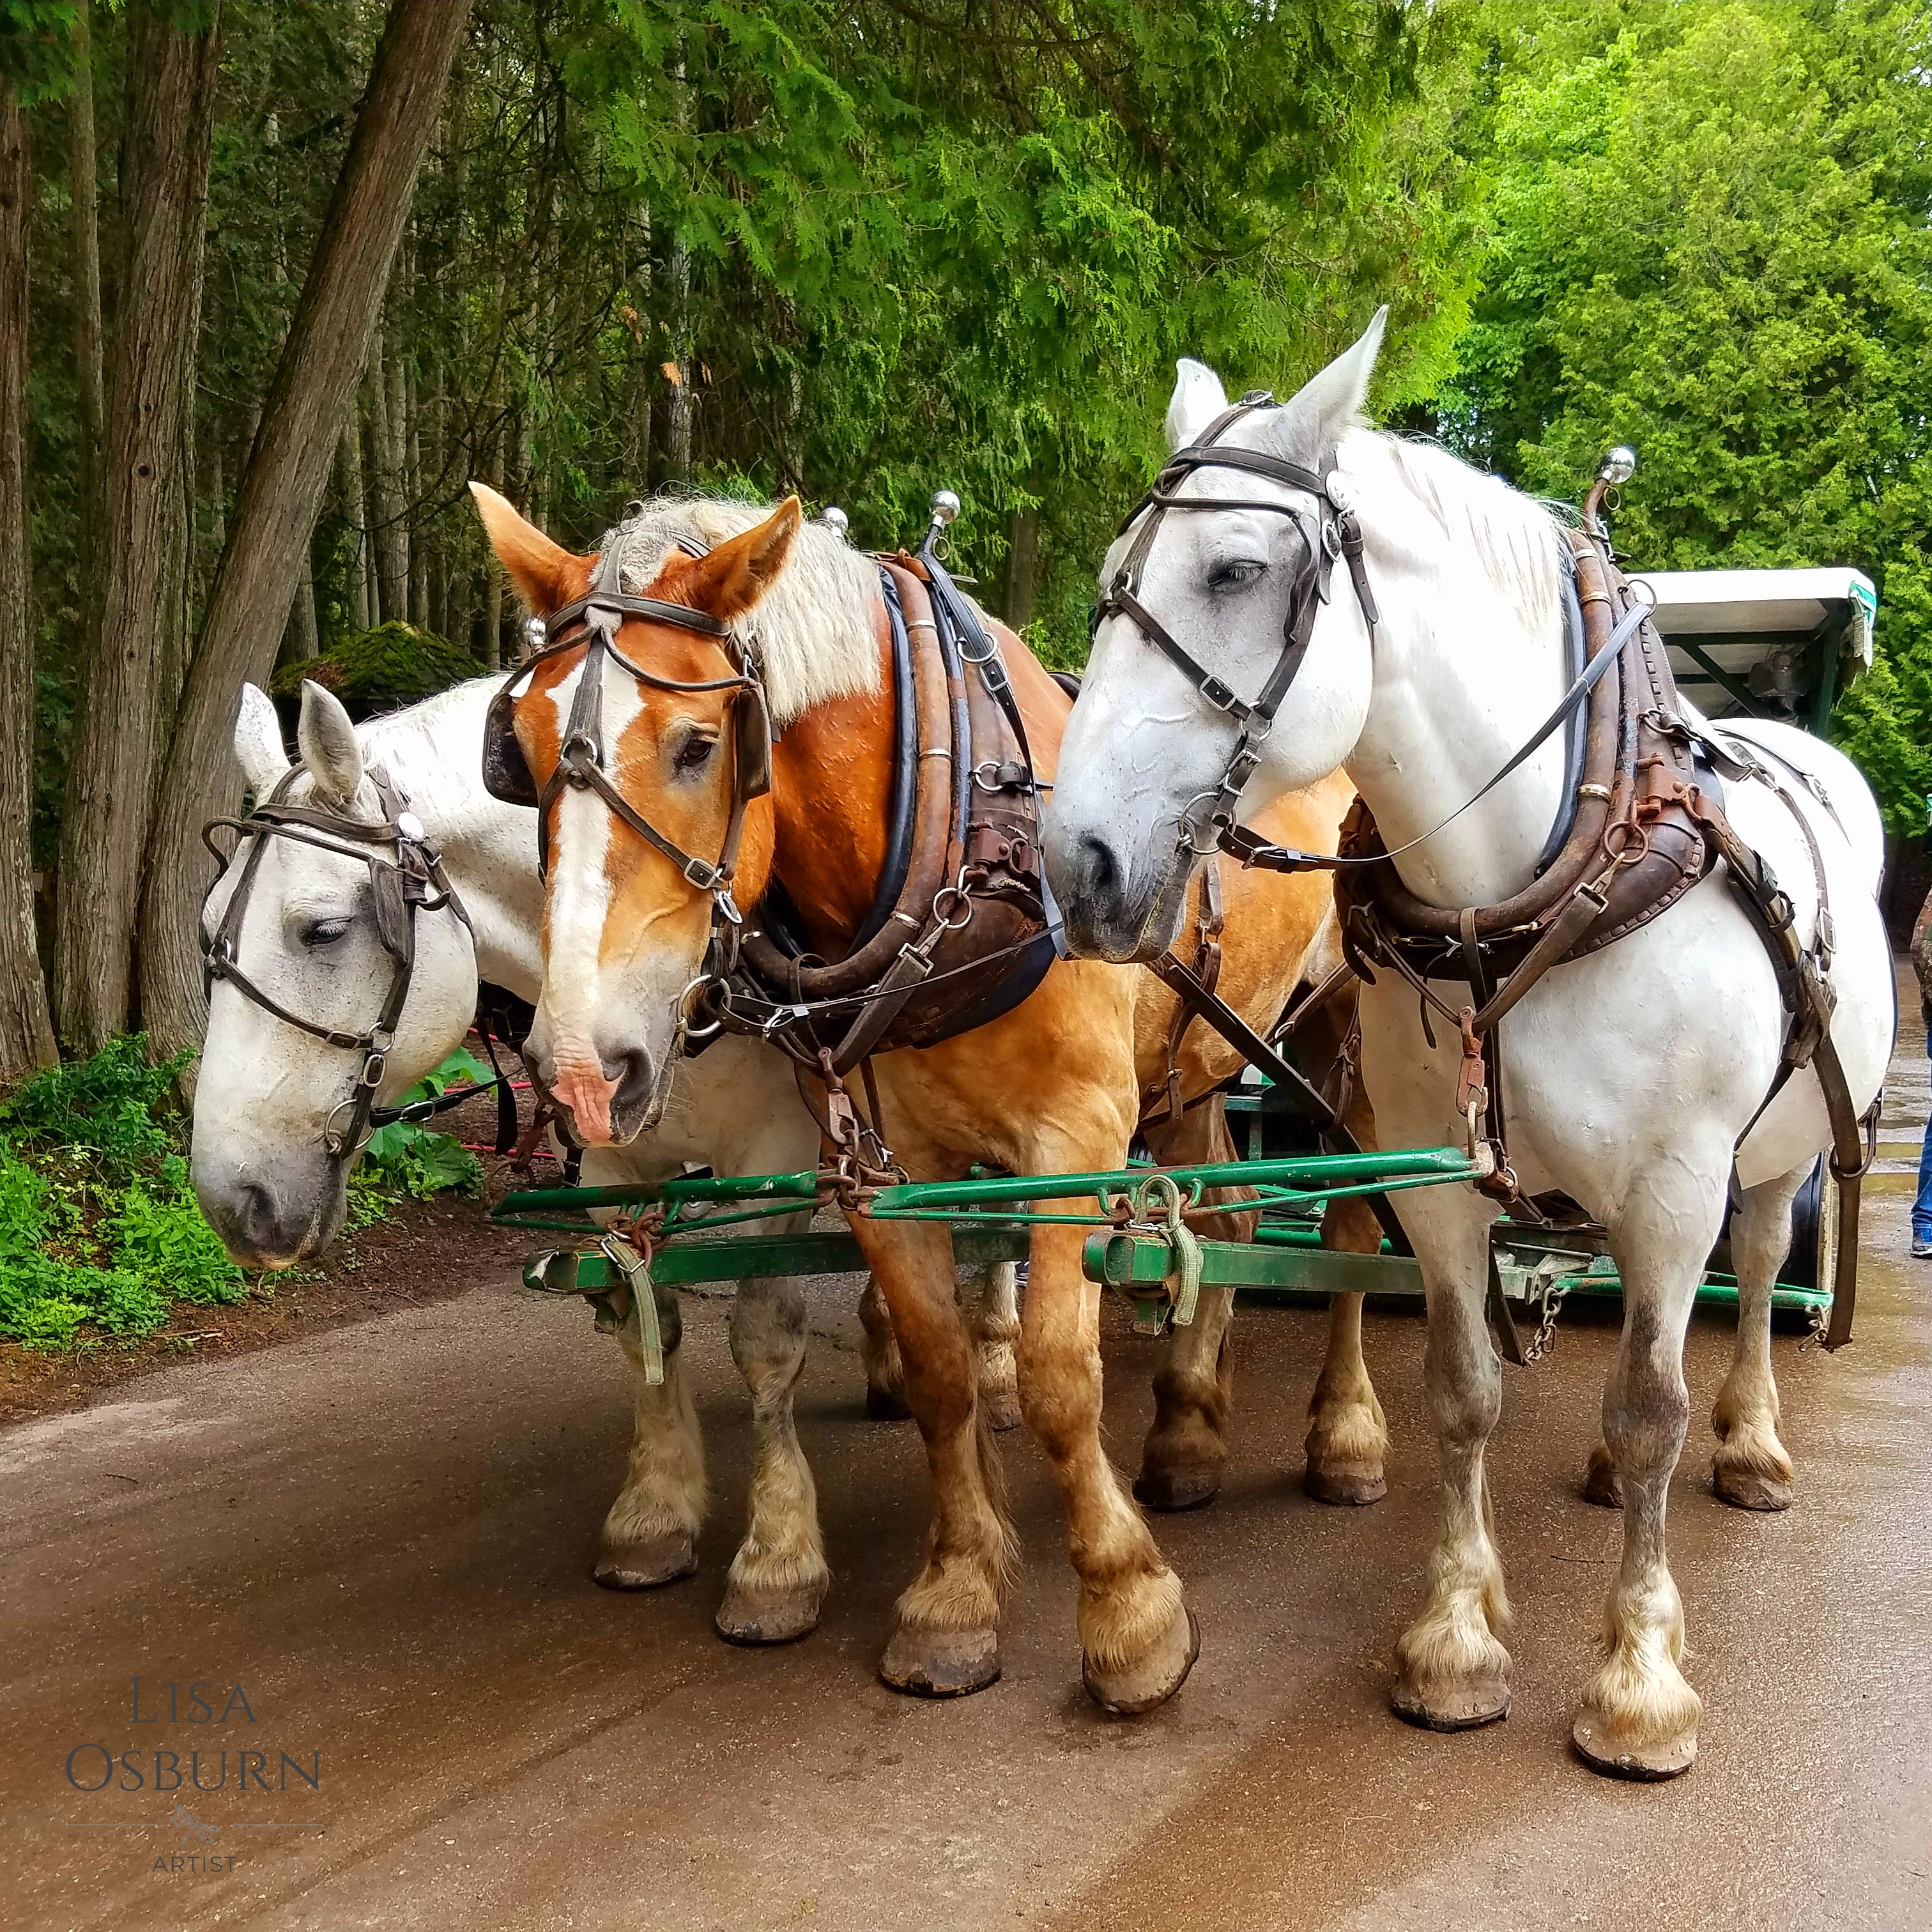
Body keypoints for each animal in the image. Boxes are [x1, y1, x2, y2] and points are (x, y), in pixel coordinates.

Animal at [189, 672, 1025, 1645]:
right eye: (206, 930)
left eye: (321, 930)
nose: (231, 1197)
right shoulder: (606, 1166)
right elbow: (643, 1318)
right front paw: (654, 1513)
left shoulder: (775, 1152)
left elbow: (765, 1339)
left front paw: (777, 1557)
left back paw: (998, 1362)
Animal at [474, 483, 1387, 1709]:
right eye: (516, 752)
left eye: (699, 745)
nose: (579, 1066)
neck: (954, 828)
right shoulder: (878, 1160)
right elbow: (944, 1371)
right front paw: (952, 1598)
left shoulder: (1072, 1139)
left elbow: (1056, 1376)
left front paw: (1129, 1614)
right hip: (1191, 1061)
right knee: (1230, 1216)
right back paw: (1188, 1434)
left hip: (1347, 1032)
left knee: (1351, 1227)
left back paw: (1346, 1436)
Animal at [1041, 312, 1892, 1774]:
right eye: (1108, 582)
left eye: (1233, 570)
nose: (1073, 859)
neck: (1524, 890)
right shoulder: (1437, 1175)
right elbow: (1463, 1389)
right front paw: (1454, 1635)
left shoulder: (1676, 1182)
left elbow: (1653, 1404)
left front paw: (1638, 1677)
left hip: (1768, 1160)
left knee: (1749, 1283)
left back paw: (1750, 1446)